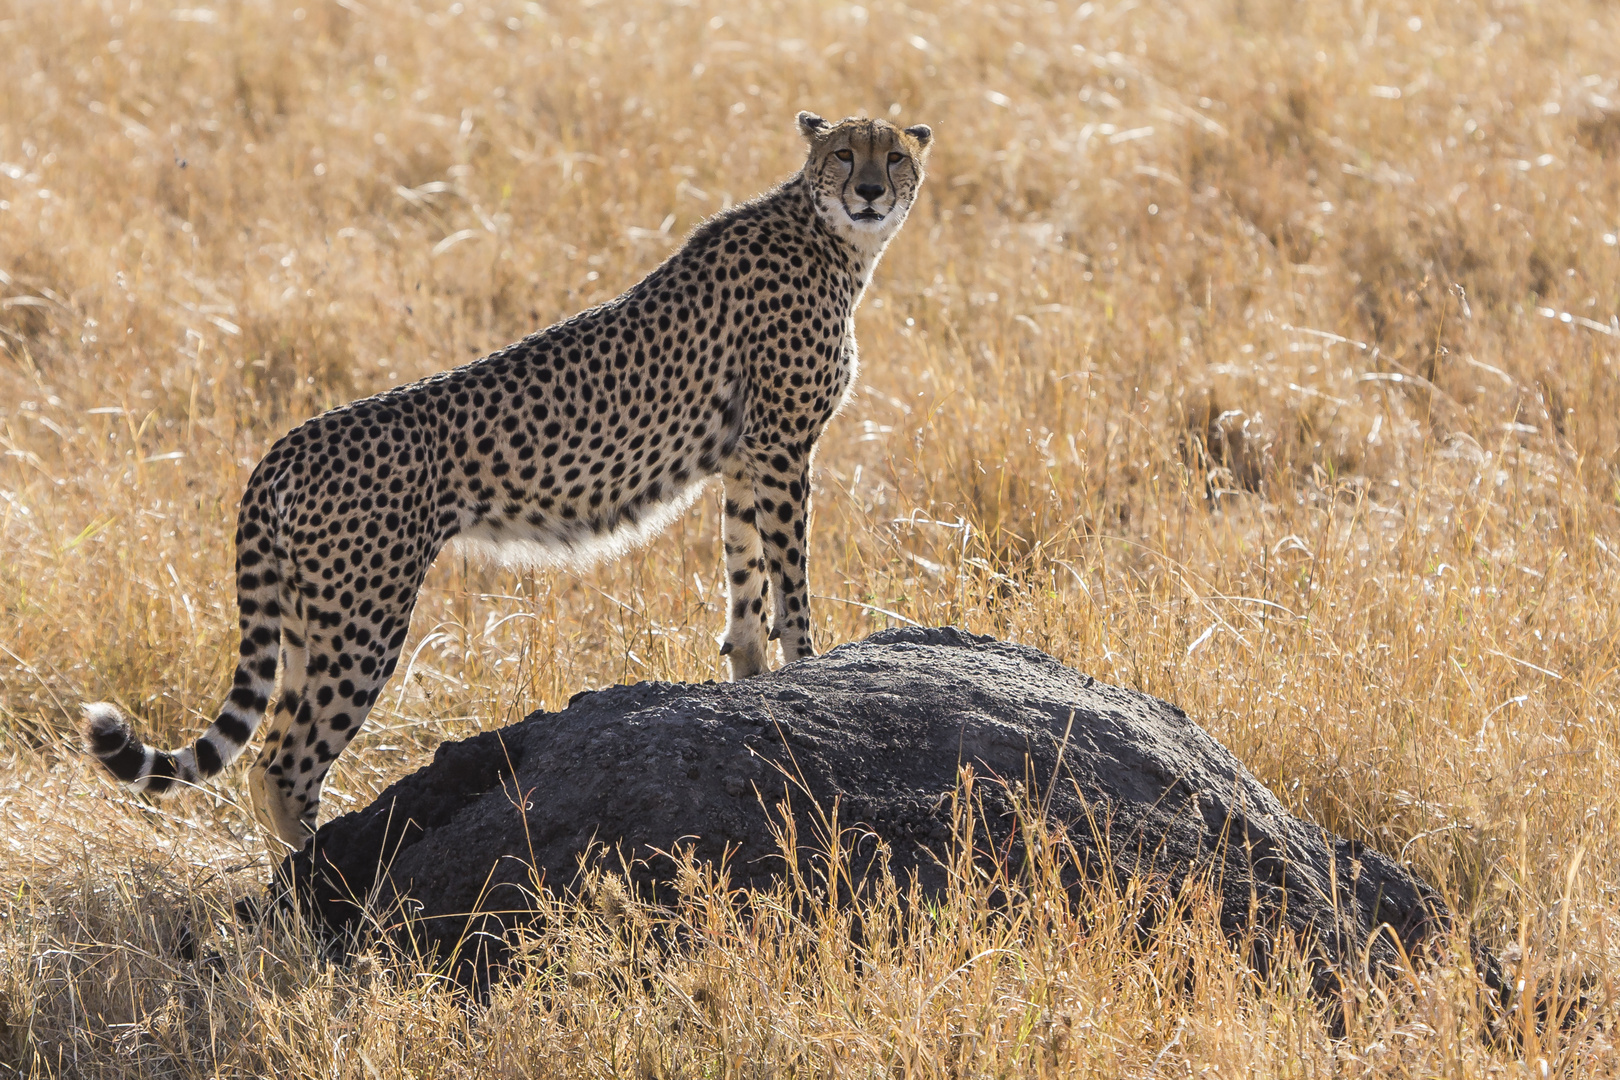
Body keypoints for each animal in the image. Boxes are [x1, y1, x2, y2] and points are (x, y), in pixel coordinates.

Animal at [82, 114, 933, 848]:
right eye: (843, 154)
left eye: (893, 155)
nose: (869, 192)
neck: (828, 236)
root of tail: (290, 441)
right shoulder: (783, 446)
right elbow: (790, 577)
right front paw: (809, 664)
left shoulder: (745, 456)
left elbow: (746, 578)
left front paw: (751, 676)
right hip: (363, 620)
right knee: (285, 765)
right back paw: (321, 885)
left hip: (307, 619)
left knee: (270, 757)